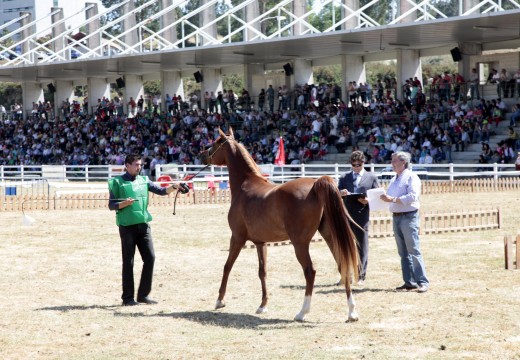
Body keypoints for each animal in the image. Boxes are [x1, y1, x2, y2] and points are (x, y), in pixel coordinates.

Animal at [201, 128, 360, 322]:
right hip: (330, 236)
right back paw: (352, 312)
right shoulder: (260, 243)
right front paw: (262, 305)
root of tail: (316, 184)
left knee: (310, 271)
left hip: (300, 243)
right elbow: (262, 272)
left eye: (215, 142)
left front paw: (219, 300)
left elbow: (227, 266)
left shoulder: (237, 238)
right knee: (342, 265)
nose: (202, 155)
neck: (245, 186)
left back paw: (302, 312)